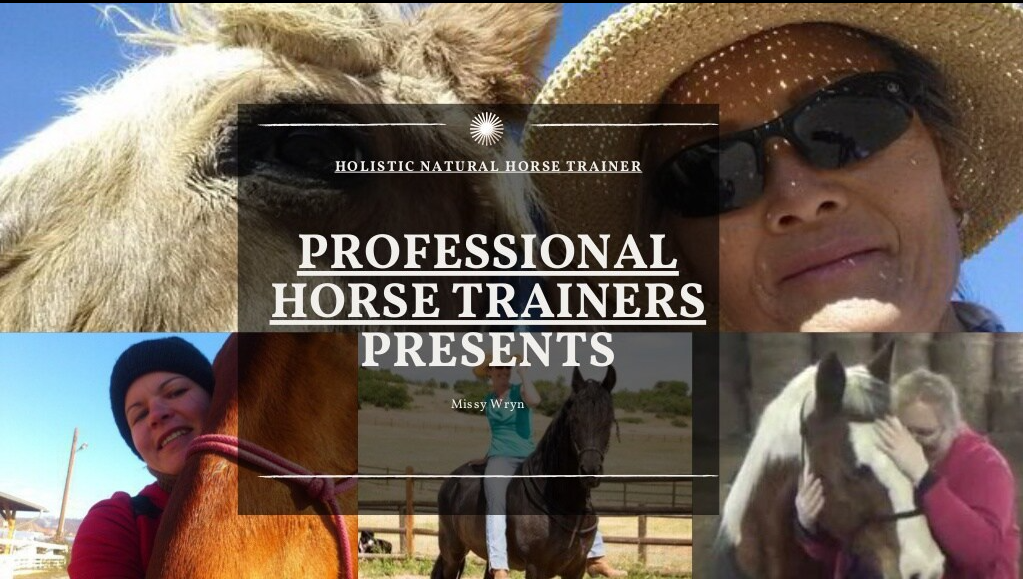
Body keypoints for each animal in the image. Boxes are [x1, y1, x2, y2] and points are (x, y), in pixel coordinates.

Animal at [433, 366, 617, 579]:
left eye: (608, 420)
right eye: (574, 419)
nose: (590, 470)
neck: (560, 502)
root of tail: (451, 481)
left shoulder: (576, 568)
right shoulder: (536, 568)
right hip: (452, 554)